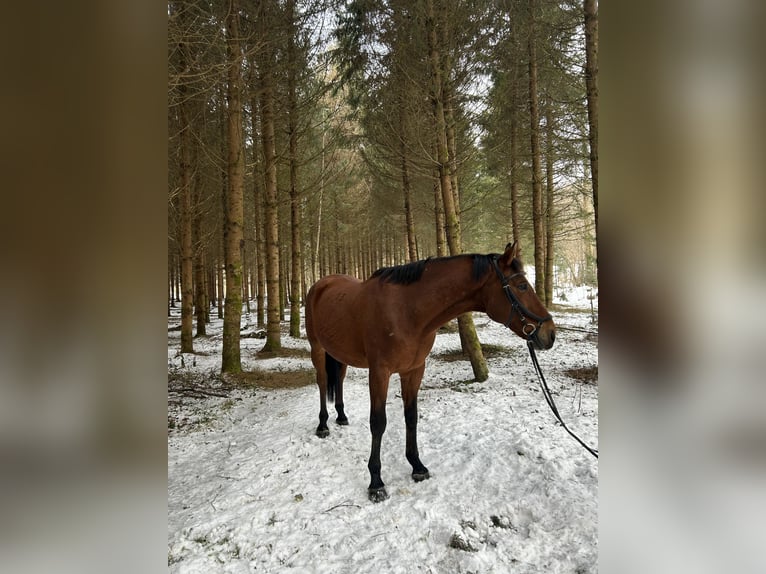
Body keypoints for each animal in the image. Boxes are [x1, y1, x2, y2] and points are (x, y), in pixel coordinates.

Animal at [304, 241, 556, 502]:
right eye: (522, 285)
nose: (550, 333)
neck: (405, 310)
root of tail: (321, 284)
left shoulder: (414, 370)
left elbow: (411, 417)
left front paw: (417, 466)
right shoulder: (380, 372)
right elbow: (378, 422)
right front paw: (376, 482)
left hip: (340, 354)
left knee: (339, 380)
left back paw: (341, 416)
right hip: (318, 348)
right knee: (322, 382)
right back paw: (323, 425)